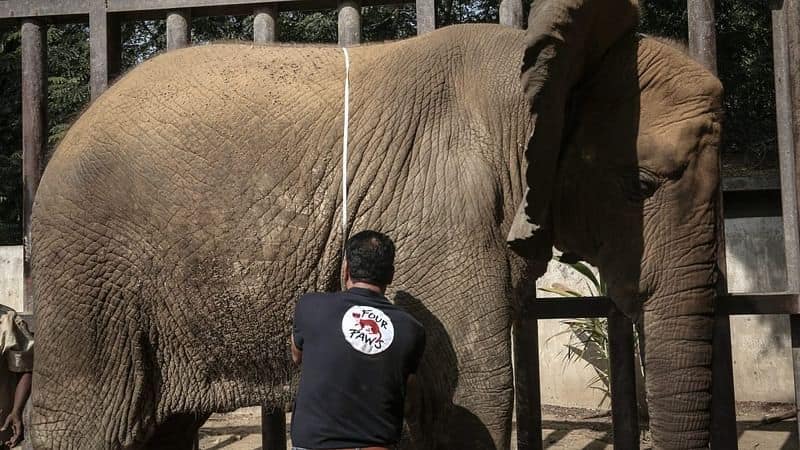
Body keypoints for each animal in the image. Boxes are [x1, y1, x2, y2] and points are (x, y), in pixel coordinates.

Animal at [29, 0, 720, 450]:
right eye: (640, 185)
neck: (534, 65)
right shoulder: (446, 212)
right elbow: (473, 389)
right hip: (88, 277)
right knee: (89, 418)